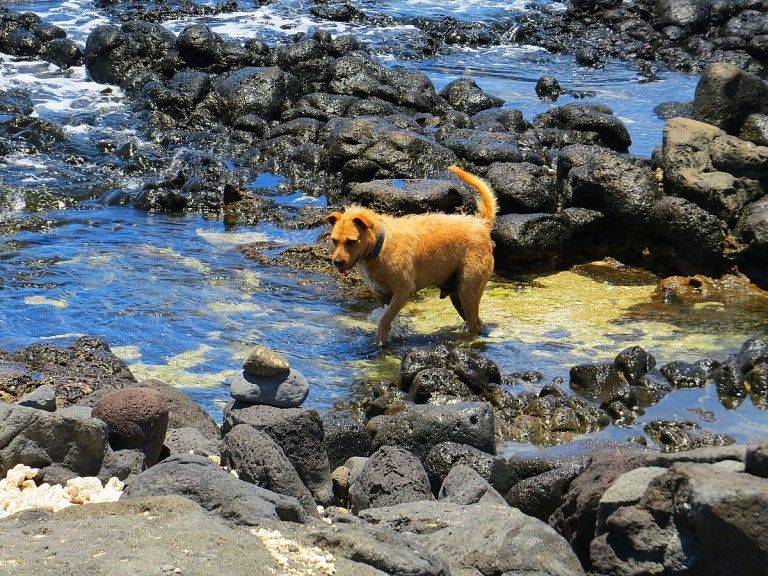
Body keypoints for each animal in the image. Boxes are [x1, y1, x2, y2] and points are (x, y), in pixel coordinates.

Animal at [326, 166, 498, 344]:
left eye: (352, 241)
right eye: (334, 240)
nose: (337, 262)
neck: (379, 245)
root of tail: (482, 224)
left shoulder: (402, 292)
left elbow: (384, 319)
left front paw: (380, 339)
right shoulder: (382, 295)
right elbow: (388, 317)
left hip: (468, 288)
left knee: (474, 323)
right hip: (457, 294)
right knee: (476, 322)